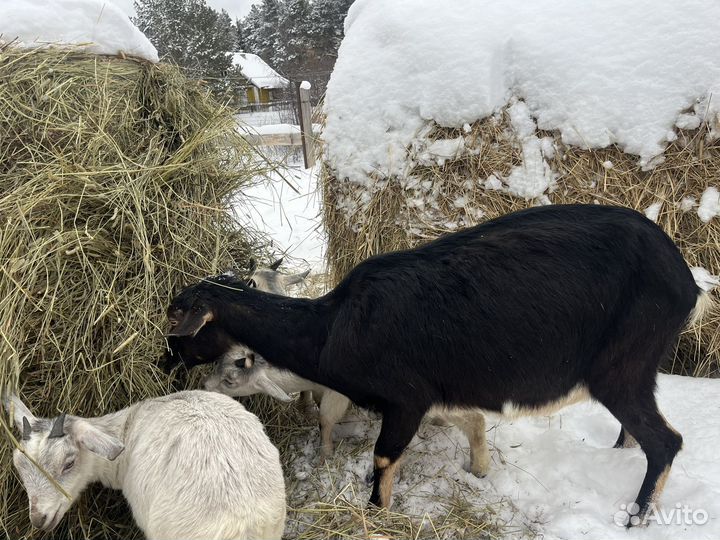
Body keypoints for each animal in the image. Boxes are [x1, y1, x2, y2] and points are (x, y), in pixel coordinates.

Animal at [166, 204, 705, 524]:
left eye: (178, 318)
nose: (166, 362)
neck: (333, 326)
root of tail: (687, 282)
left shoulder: (407, 400)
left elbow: (384, 461)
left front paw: (375, 516)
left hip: (622, 368)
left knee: (667, 441)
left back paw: (636, 517)